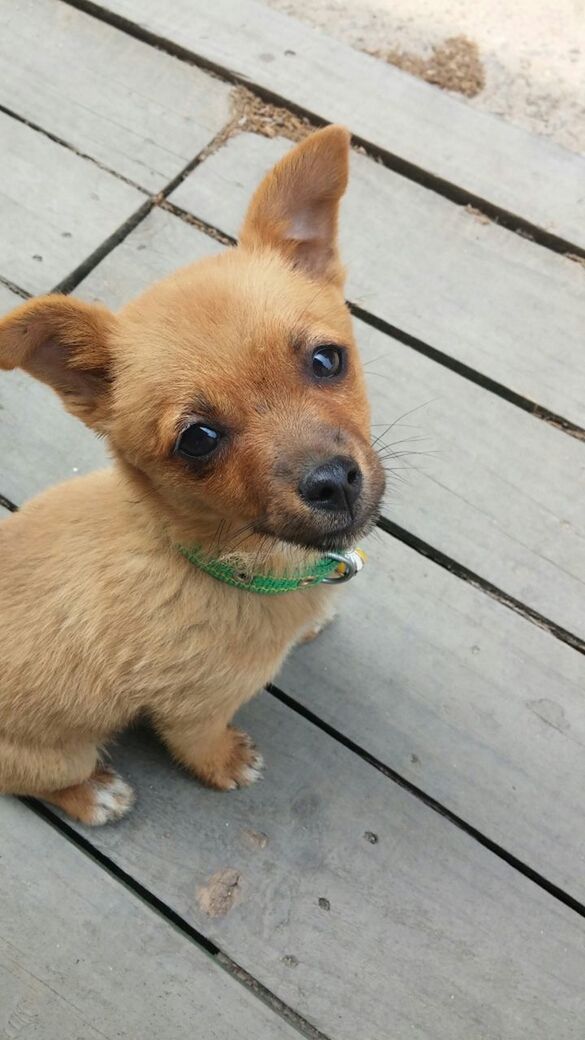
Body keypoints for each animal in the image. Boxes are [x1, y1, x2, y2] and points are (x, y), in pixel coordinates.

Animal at [0, 125, 385, 823]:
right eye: (198, 440)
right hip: (56, 750)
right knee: (36, 780)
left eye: (327, 359)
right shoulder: (191, 710)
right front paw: (227, 764)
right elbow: (198, 745)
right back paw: (96, 794)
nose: (333, 482)